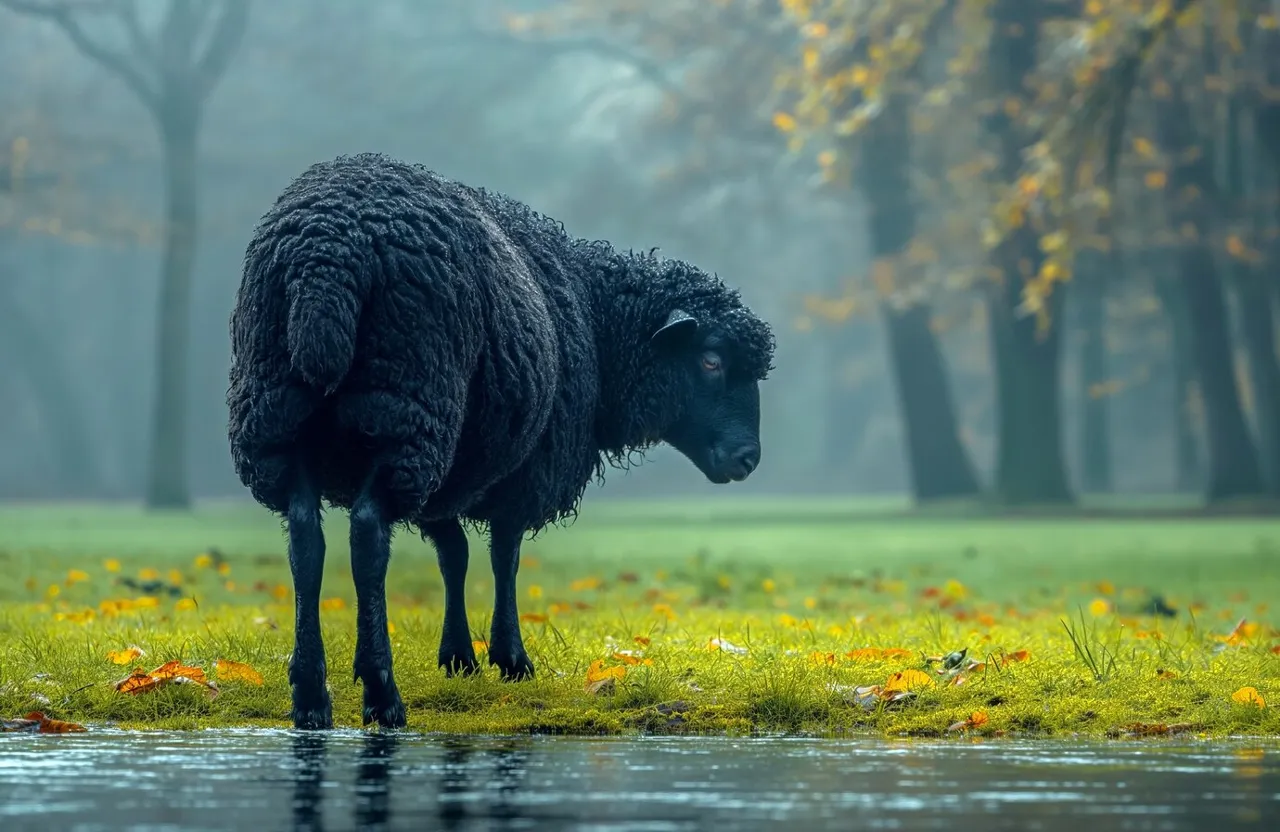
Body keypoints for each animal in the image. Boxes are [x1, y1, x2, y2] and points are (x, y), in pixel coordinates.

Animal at [225, 153, 773, 727]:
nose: (748, 458)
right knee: (369, 534)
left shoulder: (454, 474)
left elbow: (455, 555)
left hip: (281, 417)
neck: (597, 324)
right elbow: (503, 555)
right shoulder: (525, 470)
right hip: (410, 411)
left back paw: (310, 696)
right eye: (711, 360)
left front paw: (459, 656)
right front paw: (510, 657)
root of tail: (325, 264)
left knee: (305, 540)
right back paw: (381, 692)